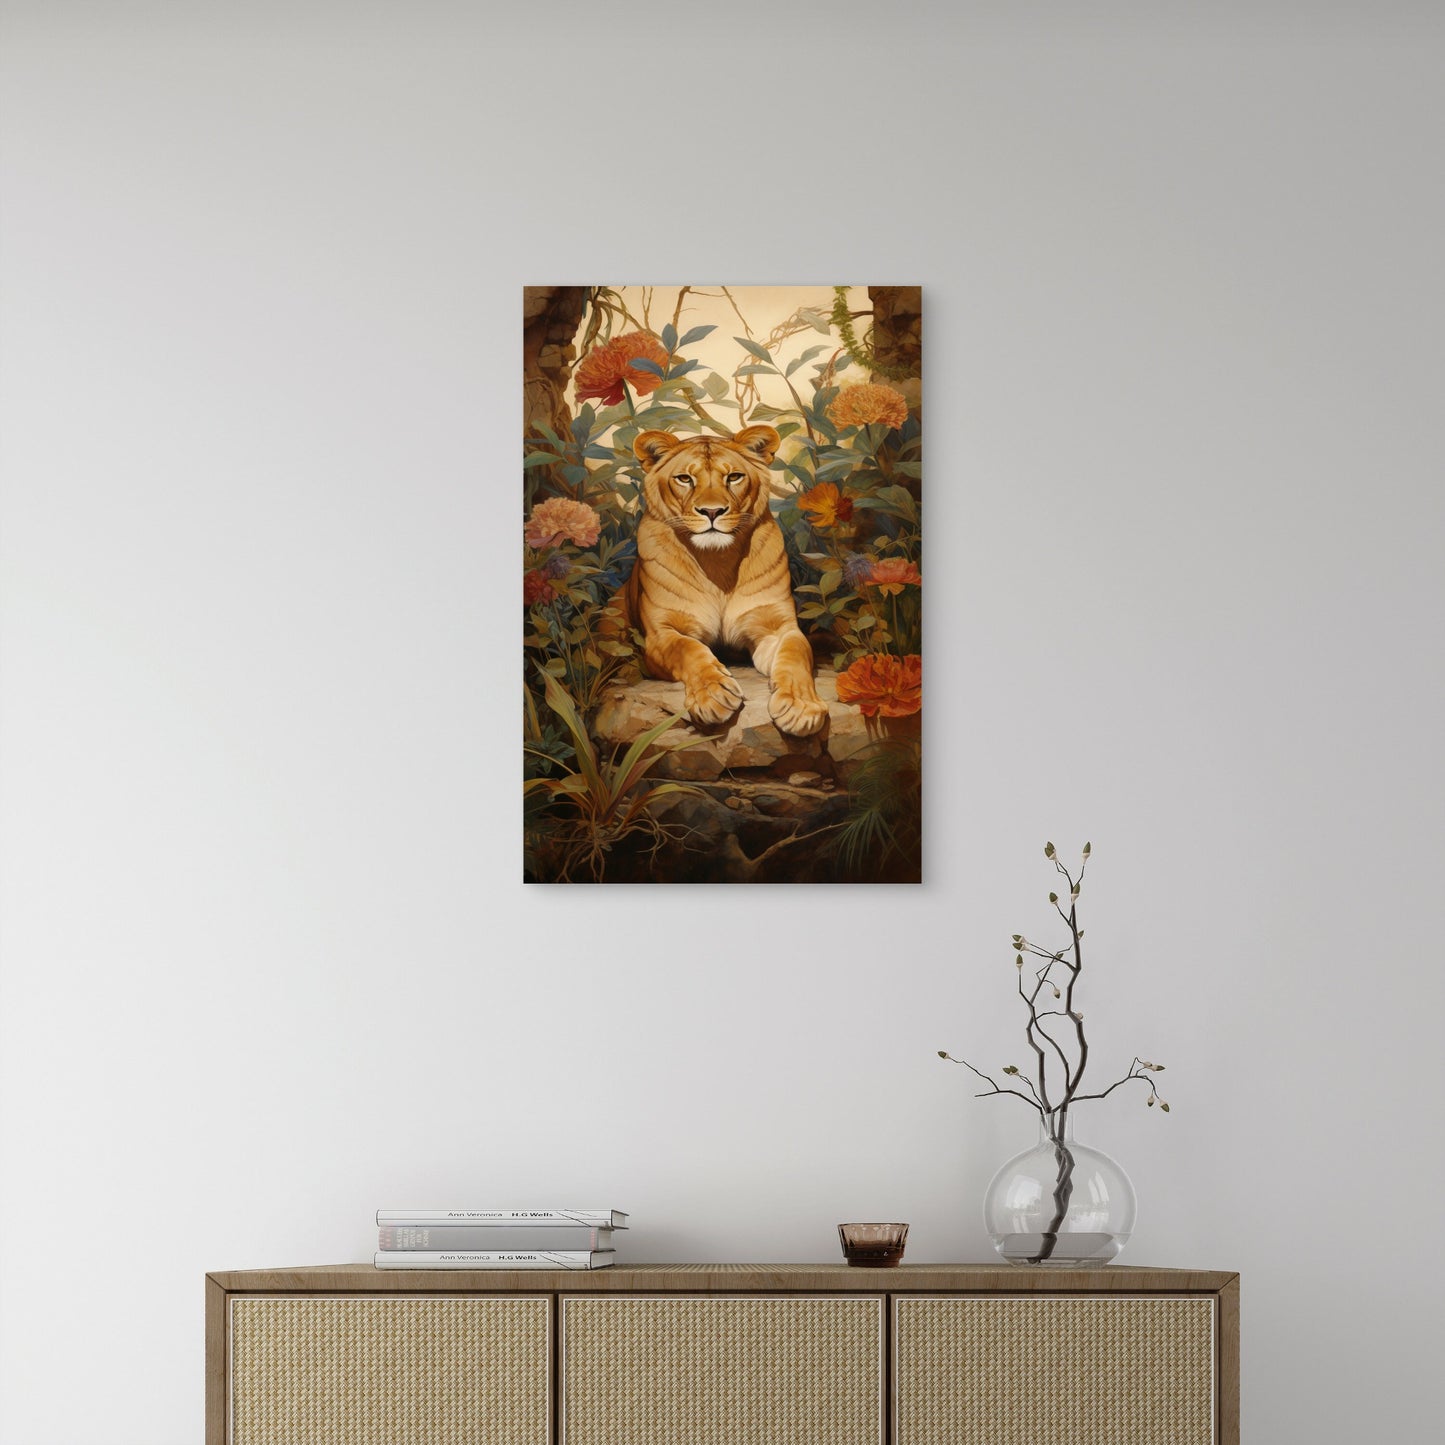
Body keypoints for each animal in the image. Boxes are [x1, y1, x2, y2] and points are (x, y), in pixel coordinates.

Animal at [624, 424, 828, 736]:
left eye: (733, 477)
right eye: (685, 478)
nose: (712, 511)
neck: (716, 562)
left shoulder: (776, 628)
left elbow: (796, 654)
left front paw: (801, 707)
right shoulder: (660, 634)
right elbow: (687, 649)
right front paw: (714, 695)